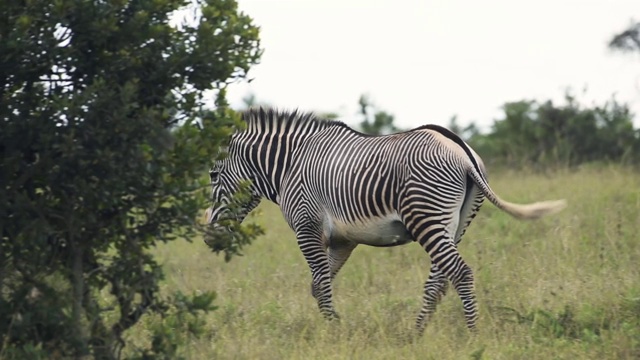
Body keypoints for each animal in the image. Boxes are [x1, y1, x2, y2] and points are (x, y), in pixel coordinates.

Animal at [205, 107, 564, 332]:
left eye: (211, 175)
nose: (208, 238)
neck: (289, 166)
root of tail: (462, 151)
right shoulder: (343, 240)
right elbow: (318, 285)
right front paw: (336, 327)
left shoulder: (307, 228)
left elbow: (320, 283)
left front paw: (334, 331)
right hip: (455, 224)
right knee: (439, 280)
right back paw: (415, 334)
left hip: (426, 216)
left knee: (459, 273)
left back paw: (473, 333)